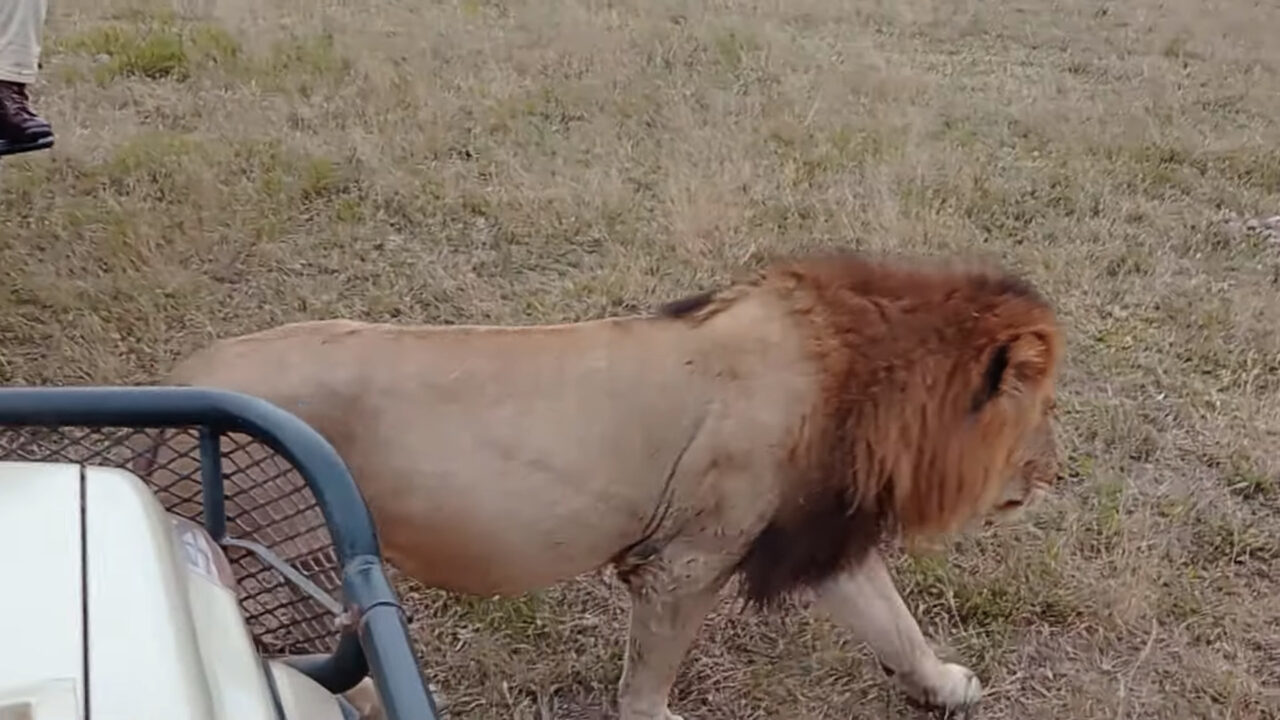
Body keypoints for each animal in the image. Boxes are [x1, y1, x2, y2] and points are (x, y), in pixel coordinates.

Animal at [140, 249, 1064, 712]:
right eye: (1043, 409)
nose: (1052, 476)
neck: (856, 377)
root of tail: (181, 377)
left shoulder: (809, 533)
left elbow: (895, 624)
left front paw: (945, 687)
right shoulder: (684, 561)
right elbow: (648, 680)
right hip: (269, 557)